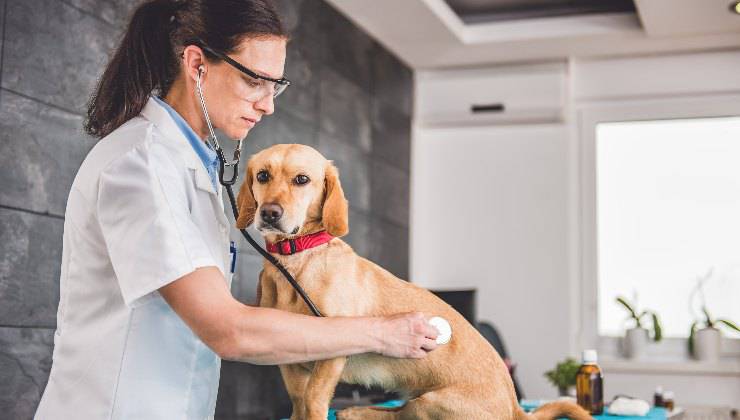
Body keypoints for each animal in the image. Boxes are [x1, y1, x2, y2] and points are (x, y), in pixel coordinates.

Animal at [233, 144, 588, 420]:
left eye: (302, 179)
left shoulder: (332, 355)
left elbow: (313, 401)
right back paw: (356, 410)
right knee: (396, 409)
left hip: (431, 402)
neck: (297, 259)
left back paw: (358, 411)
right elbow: (298, 402)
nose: (270, 213)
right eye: (262, 175)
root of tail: (516, 407)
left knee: (401, 413)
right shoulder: (290, 362)